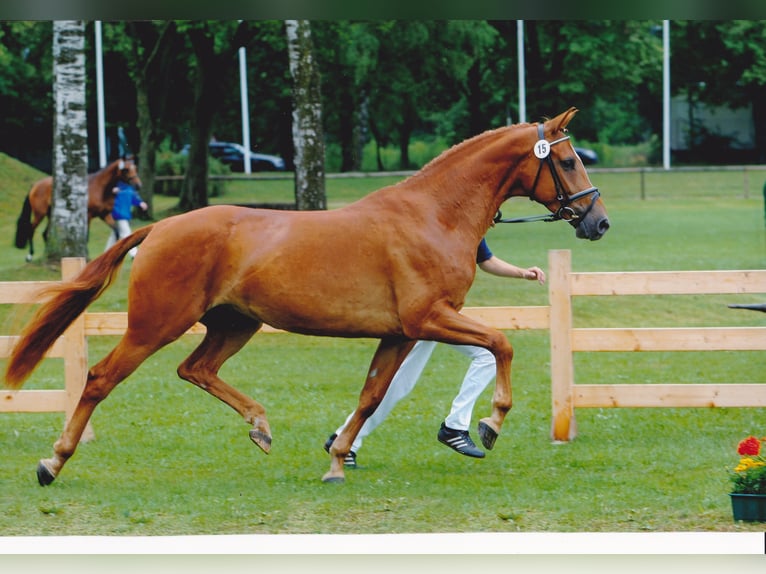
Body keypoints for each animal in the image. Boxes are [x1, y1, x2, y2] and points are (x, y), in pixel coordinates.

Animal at [14, 158, 142, 261]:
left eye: (135, 168)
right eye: (126, 169)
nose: (138, 185)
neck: (100, 188)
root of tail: (35, 184)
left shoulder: (104, 215)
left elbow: (116, 232)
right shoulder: (88, 216)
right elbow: (87, 237)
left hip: (51, 215)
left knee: (45, 233)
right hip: (39, 213)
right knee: (31, 230)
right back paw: (30, 256)